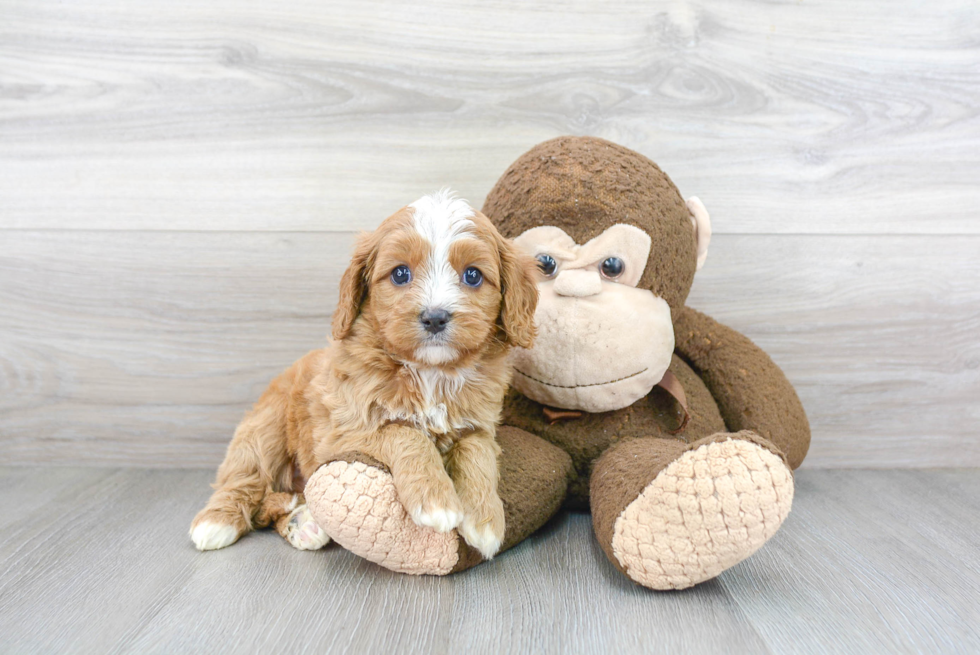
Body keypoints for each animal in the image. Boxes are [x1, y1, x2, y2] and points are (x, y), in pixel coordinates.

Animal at [188, 190, 540, 560]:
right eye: (400, 274)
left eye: (473, 275)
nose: (434, 317)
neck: (430, 372)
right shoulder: (345, 431)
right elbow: (404, 432)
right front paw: (435, 500)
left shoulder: (480, 426)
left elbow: (477, 454)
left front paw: (485, 520)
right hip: (265, 427)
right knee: (245, 478)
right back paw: (216, 522)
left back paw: (304, 523)